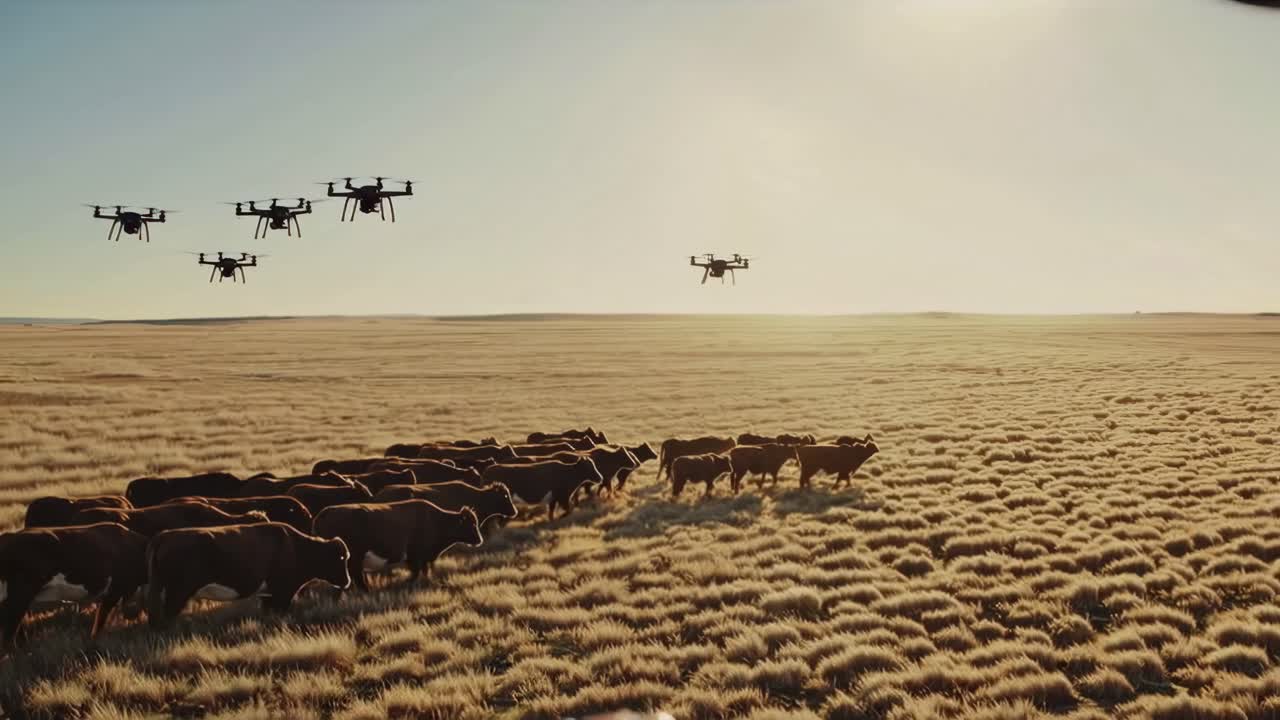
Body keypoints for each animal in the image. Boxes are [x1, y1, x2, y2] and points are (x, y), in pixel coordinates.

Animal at [146, 522, 351, 627]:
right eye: (341, 558)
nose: (347, 581)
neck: (295, 546)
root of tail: (165, 536)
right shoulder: (282, 593)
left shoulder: (269, 595)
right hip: (178, 592)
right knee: (168, 614)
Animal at [312, 500, 482, 591]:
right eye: (472, 524)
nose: (480, 540)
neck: (435, 519)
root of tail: (326, 512)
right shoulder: (415, 556)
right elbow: (417, 572)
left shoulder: (419, 558)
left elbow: (423, 571)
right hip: (353, 558)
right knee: (358, 578)